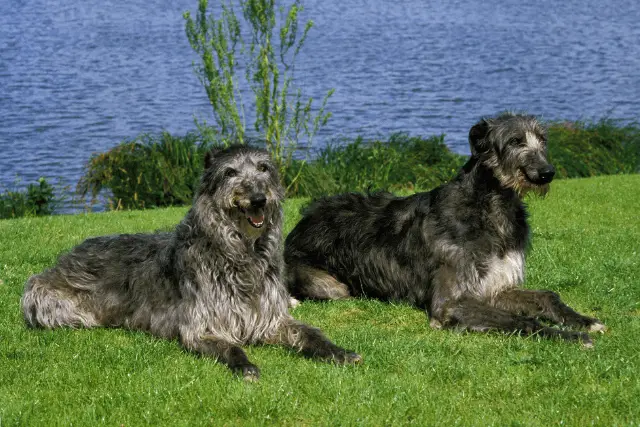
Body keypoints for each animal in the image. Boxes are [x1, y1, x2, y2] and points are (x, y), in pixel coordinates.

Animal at [22, 145, 362, 382]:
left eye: (264, 168)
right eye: (230, 173)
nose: (258, 199)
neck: (239, 253)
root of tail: (67, 255)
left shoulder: (271, 318)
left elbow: (310, 334)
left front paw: (338, 352)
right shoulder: (201, 326)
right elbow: (231, 346)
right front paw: (245, 365)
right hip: (50, 302)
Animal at [284, 113, 604, 348]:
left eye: (543, 139)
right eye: (515, 141)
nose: (547, 173)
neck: (491, 207)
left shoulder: (495, 286)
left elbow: (547, 296)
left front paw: (584, 321)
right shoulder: (450, 302)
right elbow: (518, 320)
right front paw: (568, 336)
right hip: (331, 286)